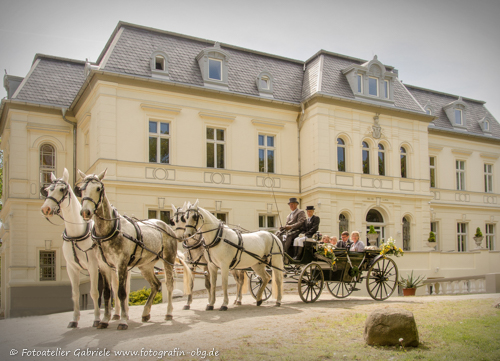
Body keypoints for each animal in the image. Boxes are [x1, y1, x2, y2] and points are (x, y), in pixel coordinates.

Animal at [40, 167, 124, 328]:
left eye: (61, 189)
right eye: (48, 190)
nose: (46, 209)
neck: (76, 233)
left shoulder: (93, 265)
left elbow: (94, 292)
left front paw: (97, 318)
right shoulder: (71, 268)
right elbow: (75, 294)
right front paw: (74, 319)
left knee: (115, 287)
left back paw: (115, 314)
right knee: (113, 287)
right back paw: (115, 314)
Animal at [78, 169, 193, 330]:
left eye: (98, 188)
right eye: (82, 189)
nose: (86, 212)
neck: (110, 231)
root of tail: (166, 227)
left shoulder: (121, 264)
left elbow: (121, 293)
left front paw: (123, 321)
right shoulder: (104, 266)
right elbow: (107, 294)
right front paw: (105, 320)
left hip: (168, 260)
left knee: (169, 284)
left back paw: (169, 312)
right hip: (146, 265)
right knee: (156, 285)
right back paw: (145, 312)